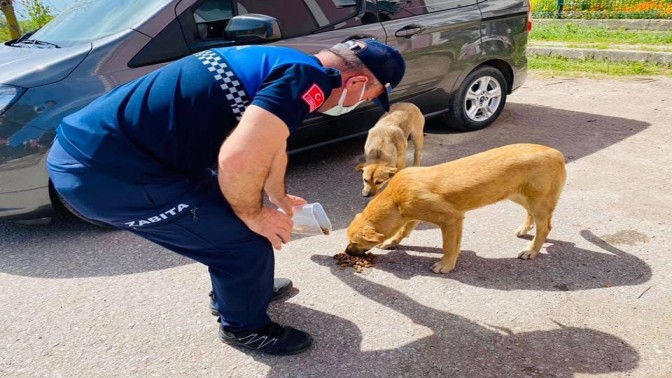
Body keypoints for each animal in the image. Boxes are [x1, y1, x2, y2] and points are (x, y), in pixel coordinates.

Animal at [344, 143, 564, 274]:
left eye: (355, 242)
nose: (346, 251)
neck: (395, 198)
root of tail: (555, 152)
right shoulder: (413, 215)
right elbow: (403, 231)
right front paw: (391, 241)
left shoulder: (451, 219)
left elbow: (449, 246)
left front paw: (446, 265)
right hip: (519, 196)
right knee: (532, 216)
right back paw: (525, 229)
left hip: (538, 202)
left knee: (545, 227)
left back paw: (531, 250)